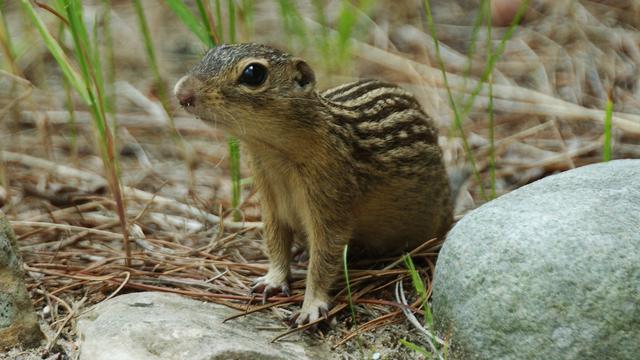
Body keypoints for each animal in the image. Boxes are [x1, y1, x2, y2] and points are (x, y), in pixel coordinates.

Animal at [175, 43, 452, 326]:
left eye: (253, 73)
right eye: (209, 53)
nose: (182, 93)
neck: (273, 153)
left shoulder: (331, 203)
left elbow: (323, 260)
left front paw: (311, 306)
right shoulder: (271, 203)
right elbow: (275, 244)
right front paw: (272, 280)